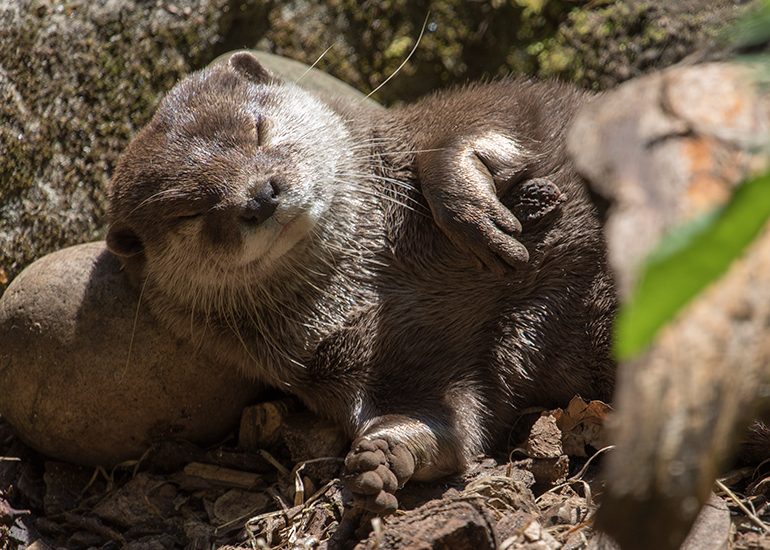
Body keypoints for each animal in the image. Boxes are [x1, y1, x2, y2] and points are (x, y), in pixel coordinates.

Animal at [106, 52, 616, 514]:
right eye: (189, 211)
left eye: (257, 128)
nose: (259, 196)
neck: (368, 275)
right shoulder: (348, 368)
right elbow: (443, 424)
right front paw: (383, 455)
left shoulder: (501, 109)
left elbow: (479, 120)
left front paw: (471, 211)